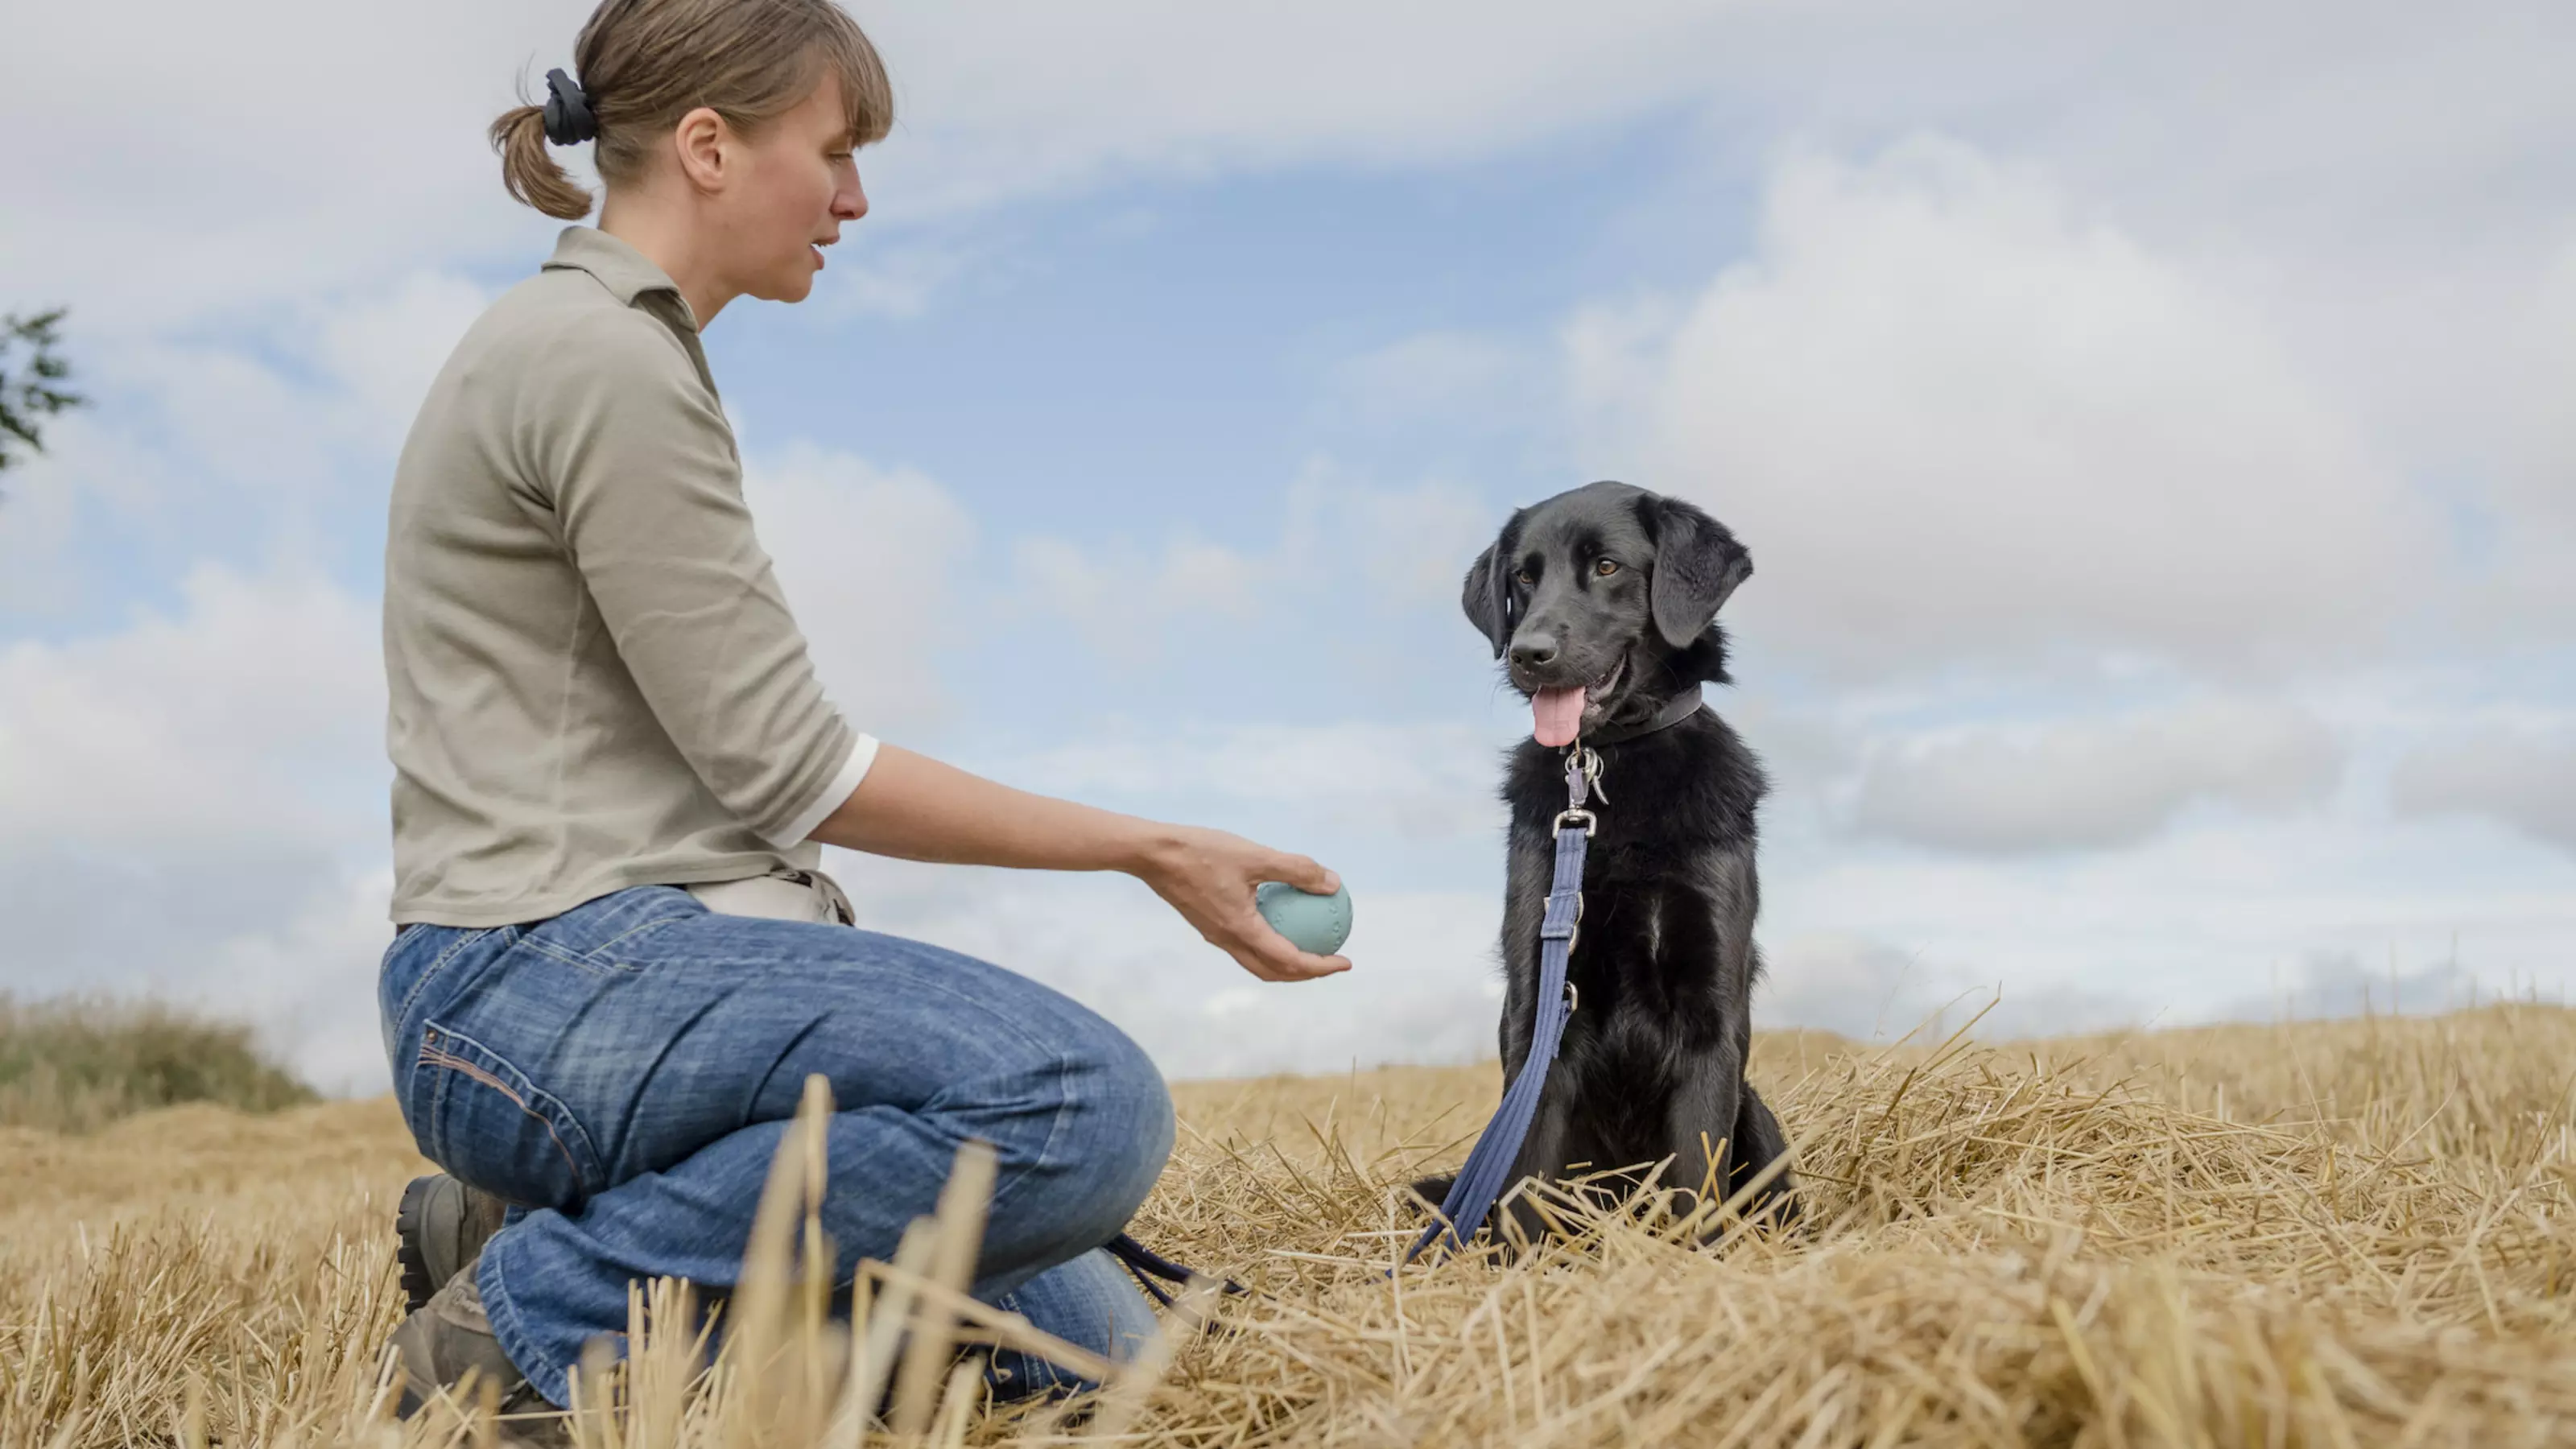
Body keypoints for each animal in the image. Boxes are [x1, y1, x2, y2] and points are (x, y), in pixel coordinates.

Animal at [1411, 479, 1793, 1248]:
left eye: (1608, 567)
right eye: (1524, 578)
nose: (1527, 654)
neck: (1614, 758)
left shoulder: (1712, 1016)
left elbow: (1697, 1184)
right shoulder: (1537, 1006)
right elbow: (1525, 1193)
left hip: (1761, 1119)